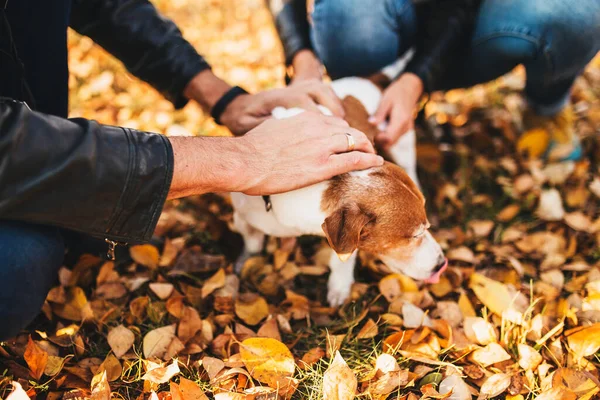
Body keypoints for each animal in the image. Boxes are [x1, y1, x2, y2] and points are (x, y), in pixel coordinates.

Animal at [230, 62, 446, 308]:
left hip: (400, 141)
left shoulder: (346, 241)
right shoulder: (242, 214)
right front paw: (245, 262)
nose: (442, 264)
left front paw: (339, 287)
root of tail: (369, 79)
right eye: (415, 236)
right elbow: (252, 242)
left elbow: (342, 260)